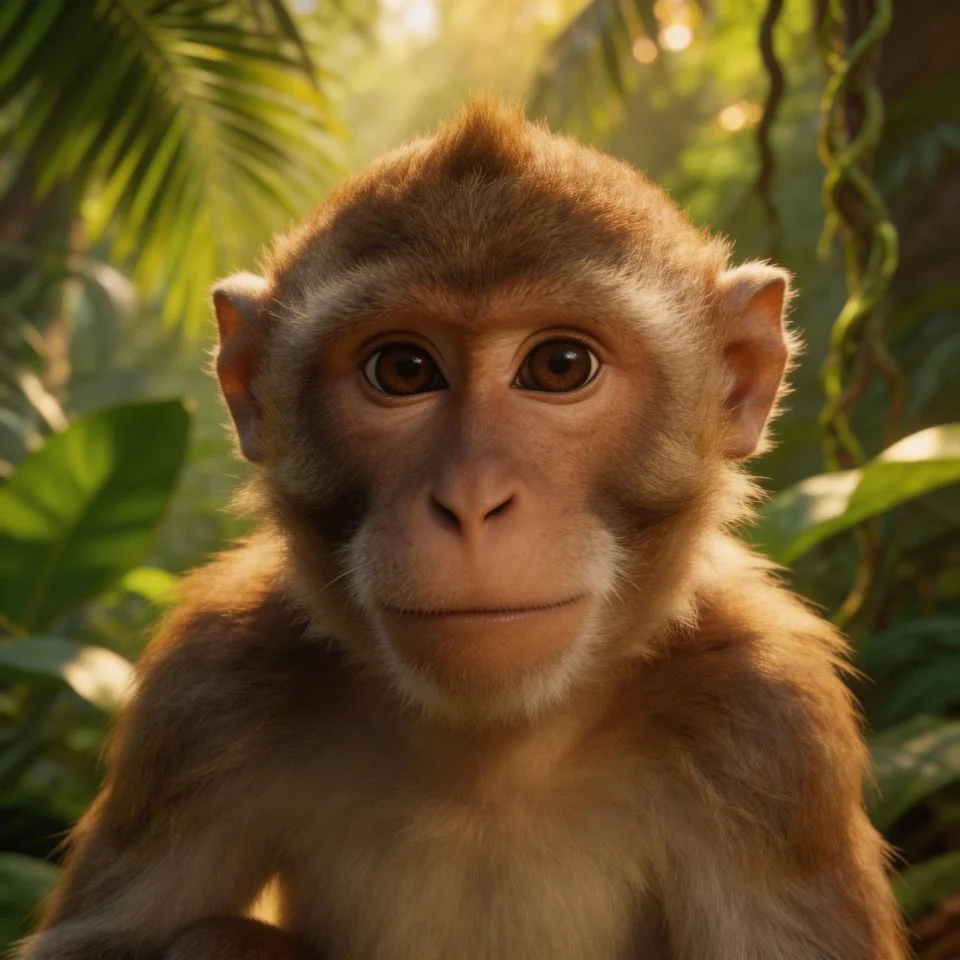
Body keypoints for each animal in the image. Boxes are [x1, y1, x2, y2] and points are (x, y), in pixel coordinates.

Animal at [17, 97, 907, 960]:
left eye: (559, 366)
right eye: (404, 369)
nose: (472, 501)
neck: (491, 753)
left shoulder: (768, 732)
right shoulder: (205, 693)